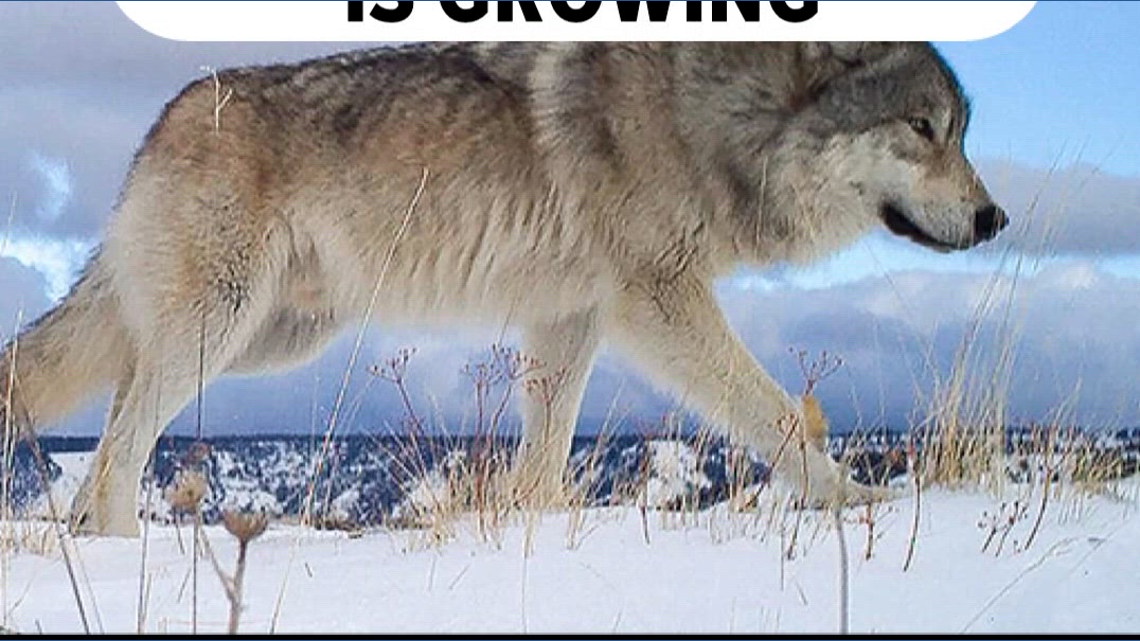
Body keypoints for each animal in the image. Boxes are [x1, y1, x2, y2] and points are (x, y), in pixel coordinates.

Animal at [0, 42, 1005, 537]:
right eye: (924, 129)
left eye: (959, 132)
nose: (994, 217)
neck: (717, 111)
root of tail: (159, 120)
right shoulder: (660, 299)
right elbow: (780, 414)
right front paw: (857, 501)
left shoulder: (573, 317)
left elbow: (545, 456)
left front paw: (534, 533)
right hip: (221, 329)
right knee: (124, 440)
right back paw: (123, 552)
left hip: (259, 341)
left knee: (117, 411)